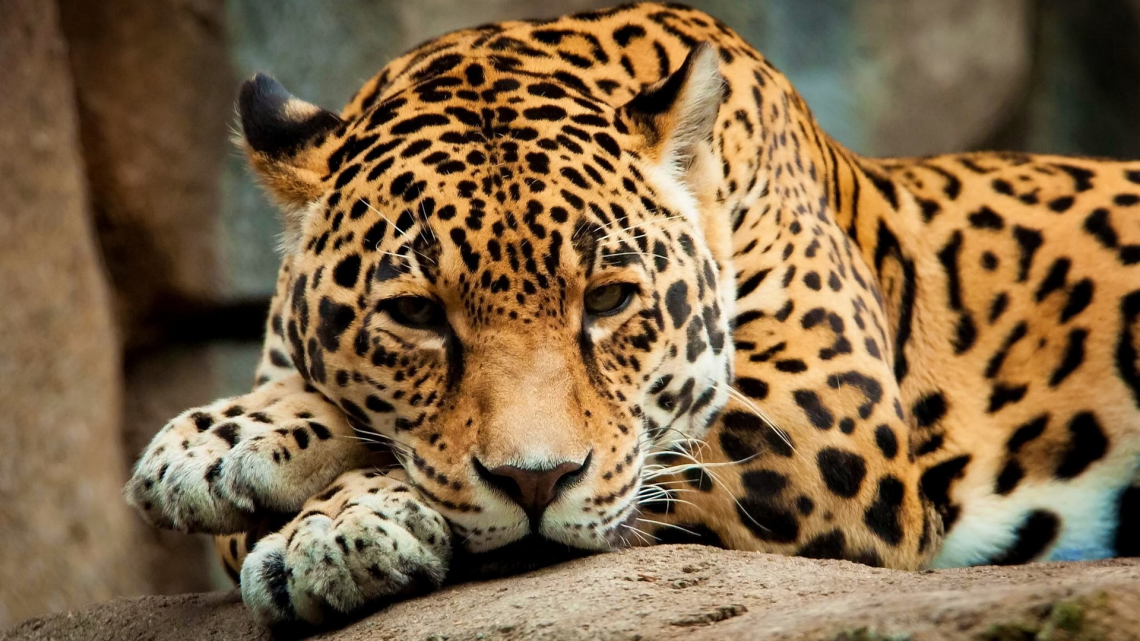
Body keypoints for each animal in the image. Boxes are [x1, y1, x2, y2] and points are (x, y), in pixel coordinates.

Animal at [125, 1, 1140, 626]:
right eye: (415, 314)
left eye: (610, 299)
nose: (535, 482)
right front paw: (231, 442)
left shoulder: (826, 417)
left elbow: (645, 458)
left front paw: (331, 528)